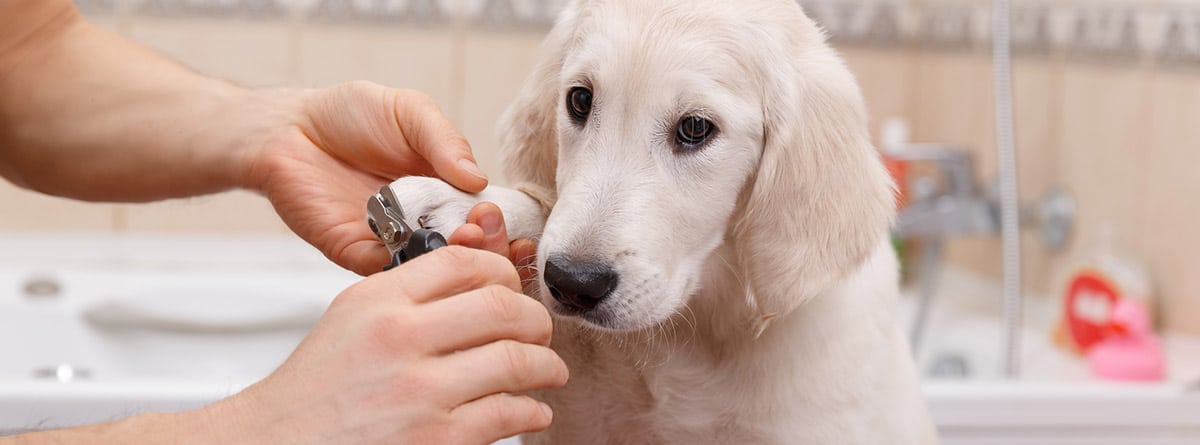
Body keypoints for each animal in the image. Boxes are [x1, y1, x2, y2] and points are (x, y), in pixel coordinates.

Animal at [388, 0, 931, 443]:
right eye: (580, 100)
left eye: (695, 128)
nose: (573, 284)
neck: (697, 331)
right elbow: (545, 210)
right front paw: (461, 202)